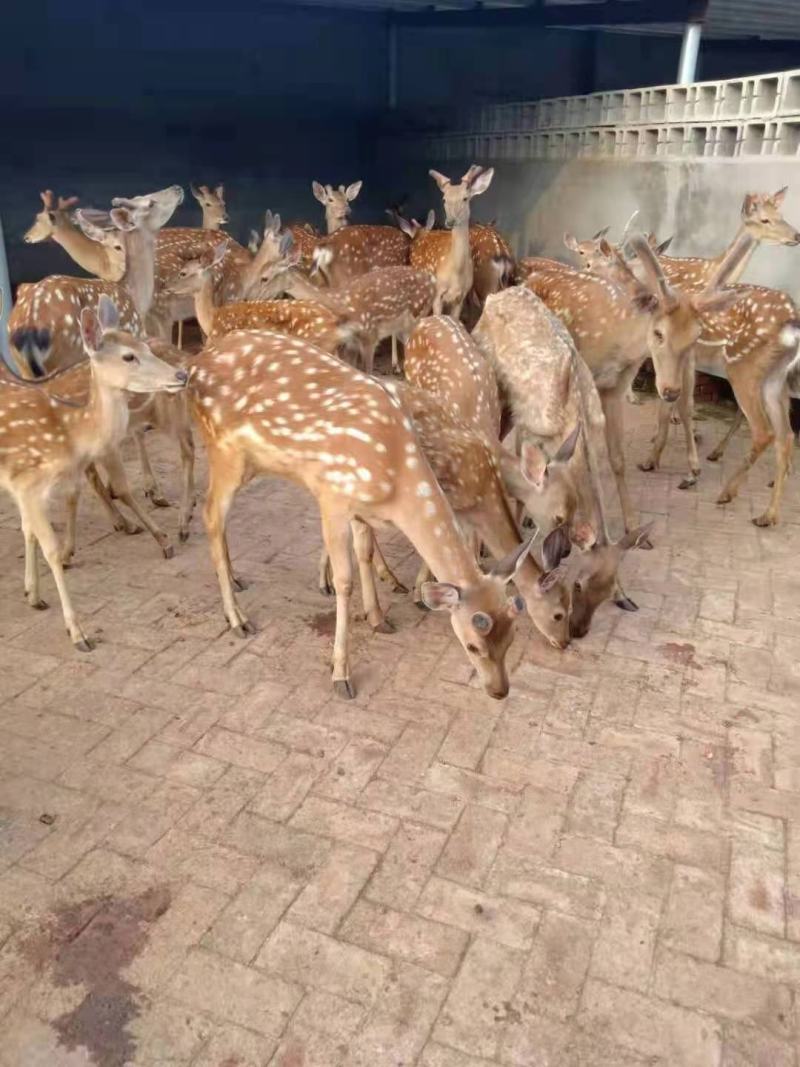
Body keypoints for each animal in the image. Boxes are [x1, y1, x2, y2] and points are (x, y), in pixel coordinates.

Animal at [0, 295, 187, 650]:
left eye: (145, 345)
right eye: (128, 356)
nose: (181, 373)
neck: (69, 434)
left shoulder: (24, 486)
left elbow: (28, 531)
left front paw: (34, 595)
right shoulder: (29, 484)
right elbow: (51, 549)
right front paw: (78, 633)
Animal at [190, 328, 532, 699]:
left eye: (511, 638)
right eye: (472, 646)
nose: (500, 691)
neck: (397, 477)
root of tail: (194, 364)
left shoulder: (361, 509)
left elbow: (365, 552)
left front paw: (379, 618)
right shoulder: (333, 496)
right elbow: (344, 581)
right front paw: (341, 674)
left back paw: (238, 583)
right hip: (224, 451)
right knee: (210, 515)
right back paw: (237, 619)